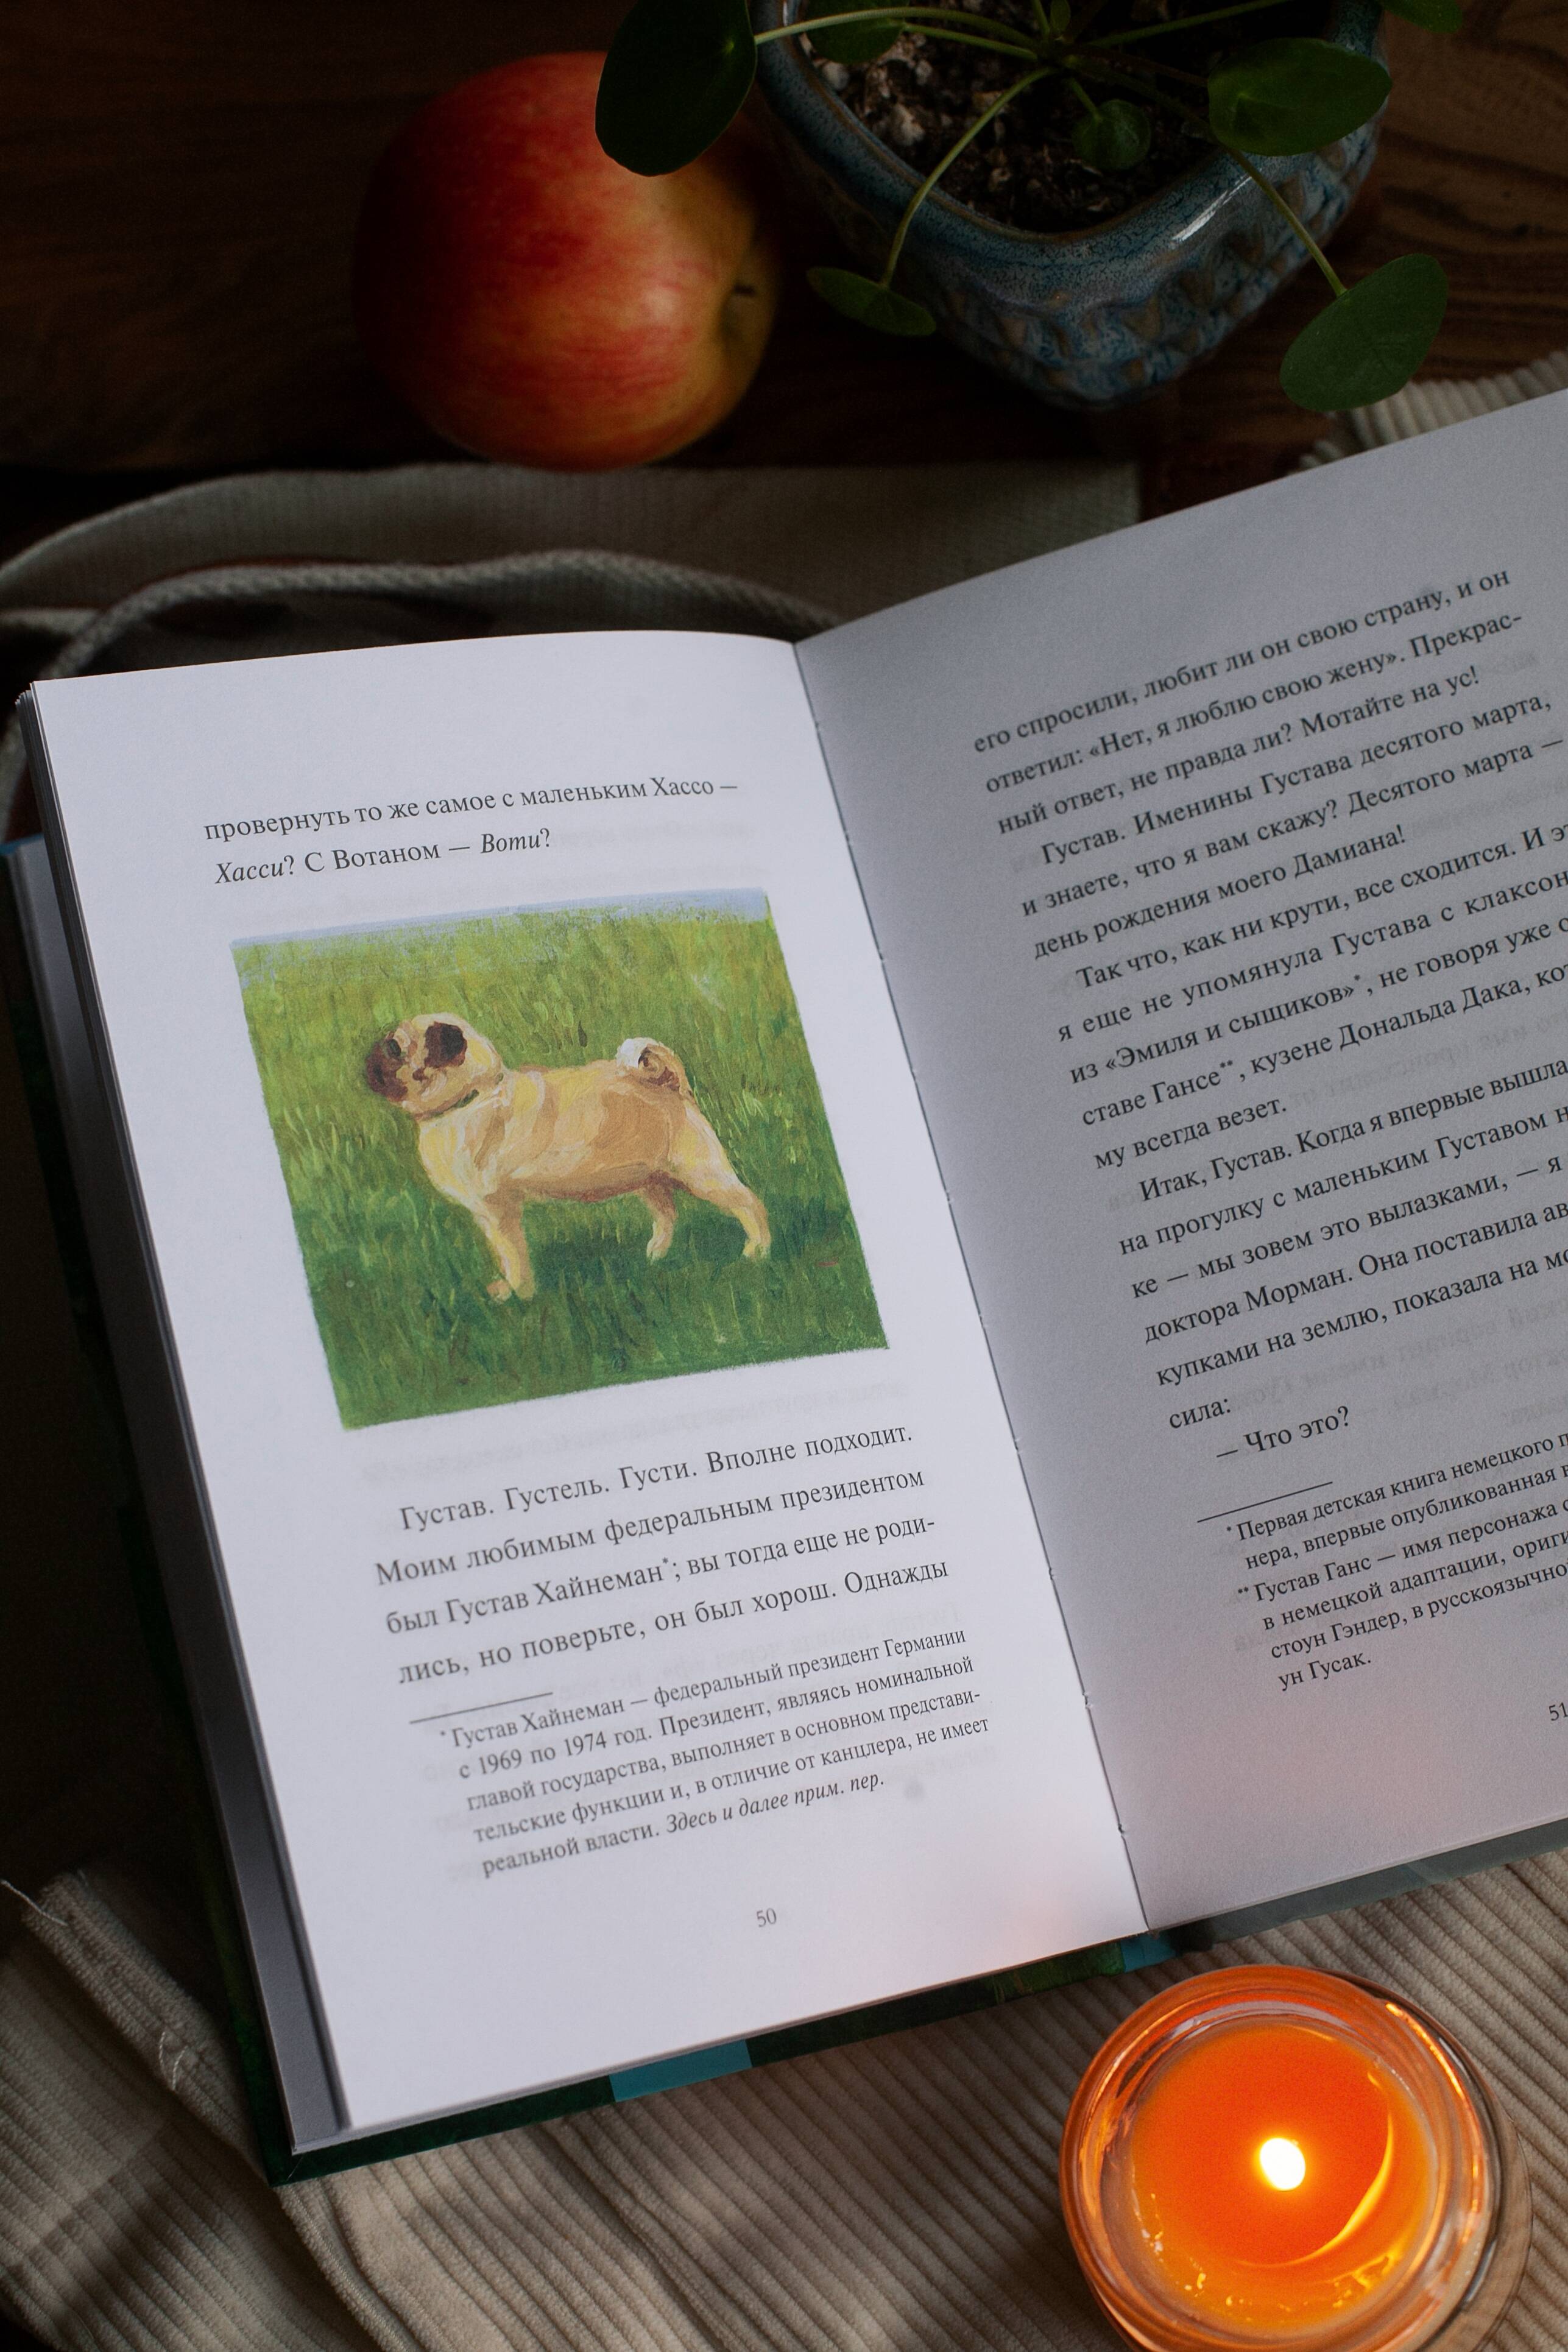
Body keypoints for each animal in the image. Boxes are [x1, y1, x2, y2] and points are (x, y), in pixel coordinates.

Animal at [364, 1014, 769, 1302]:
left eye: (394, 1049)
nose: (368, 1059)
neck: (473, 1095)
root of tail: (670, 1085)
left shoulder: (498, 1210)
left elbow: (514, 1254)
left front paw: (522, 1296)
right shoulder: (486, 1215)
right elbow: (504, 1255)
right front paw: (507, 1291)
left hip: (701, 1173)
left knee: (749, 1204)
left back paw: (758, 1252)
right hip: (647, 1178)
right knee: (667, 1215)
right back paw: (655, 1255)